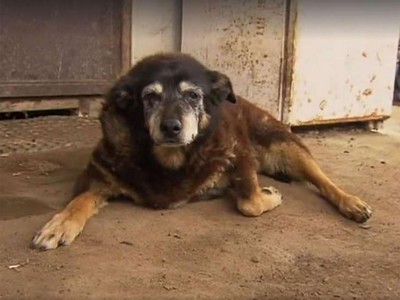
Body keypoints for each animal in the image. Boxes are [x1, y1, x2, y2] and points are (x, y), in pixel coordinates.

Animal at [31, 52, 372, 250]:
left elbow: (249, 202)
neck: (171, 161)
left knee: (323, 180)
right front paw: (59, 224)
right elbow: (79, 201)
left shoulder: (238, 153)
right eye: (150, 97)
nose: (171, 127)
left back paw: (352, 203)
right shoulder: (99, 176)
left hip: (285, 145)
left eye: (193, 95)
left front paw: (268, 195)